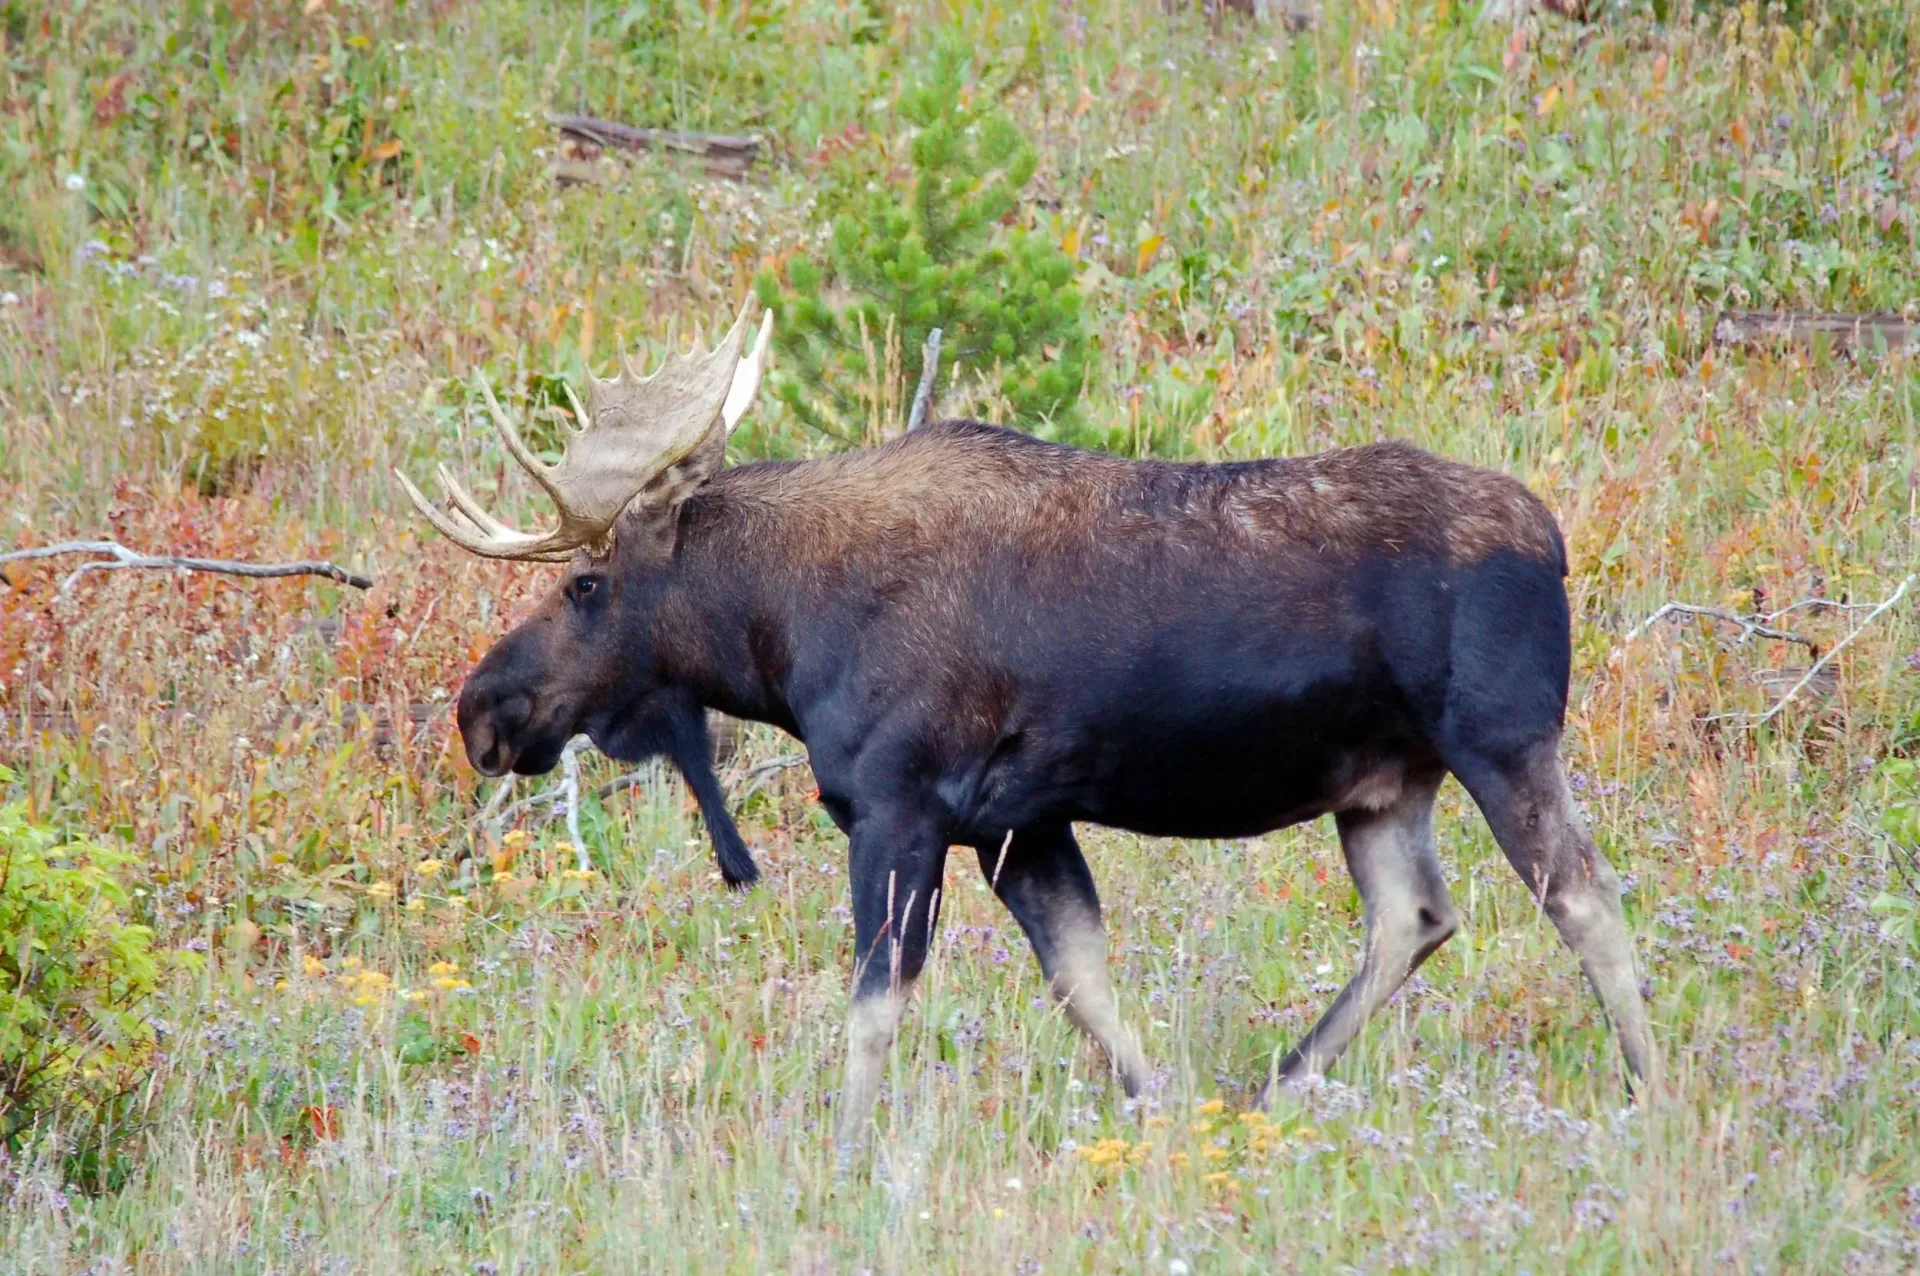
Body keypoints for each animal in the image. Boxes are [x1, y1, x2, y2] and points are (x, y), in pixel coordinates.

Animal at [396, 300, 1661, 1152]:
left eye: (587, 585)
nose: (482, 709)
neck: (780, 637)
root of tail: (1554, 541)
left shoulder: (900, 807)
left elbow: (875, 1003)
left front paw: (842, 1154)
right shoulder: (1019, 825)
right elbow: (1084, 982)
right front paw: (1160, 1112)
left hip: (1500, 738)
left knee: (1584, 894)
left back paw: (1649, 1089)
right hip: (1382, 781)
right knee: (1416, 915)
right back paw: (1276, 1083)